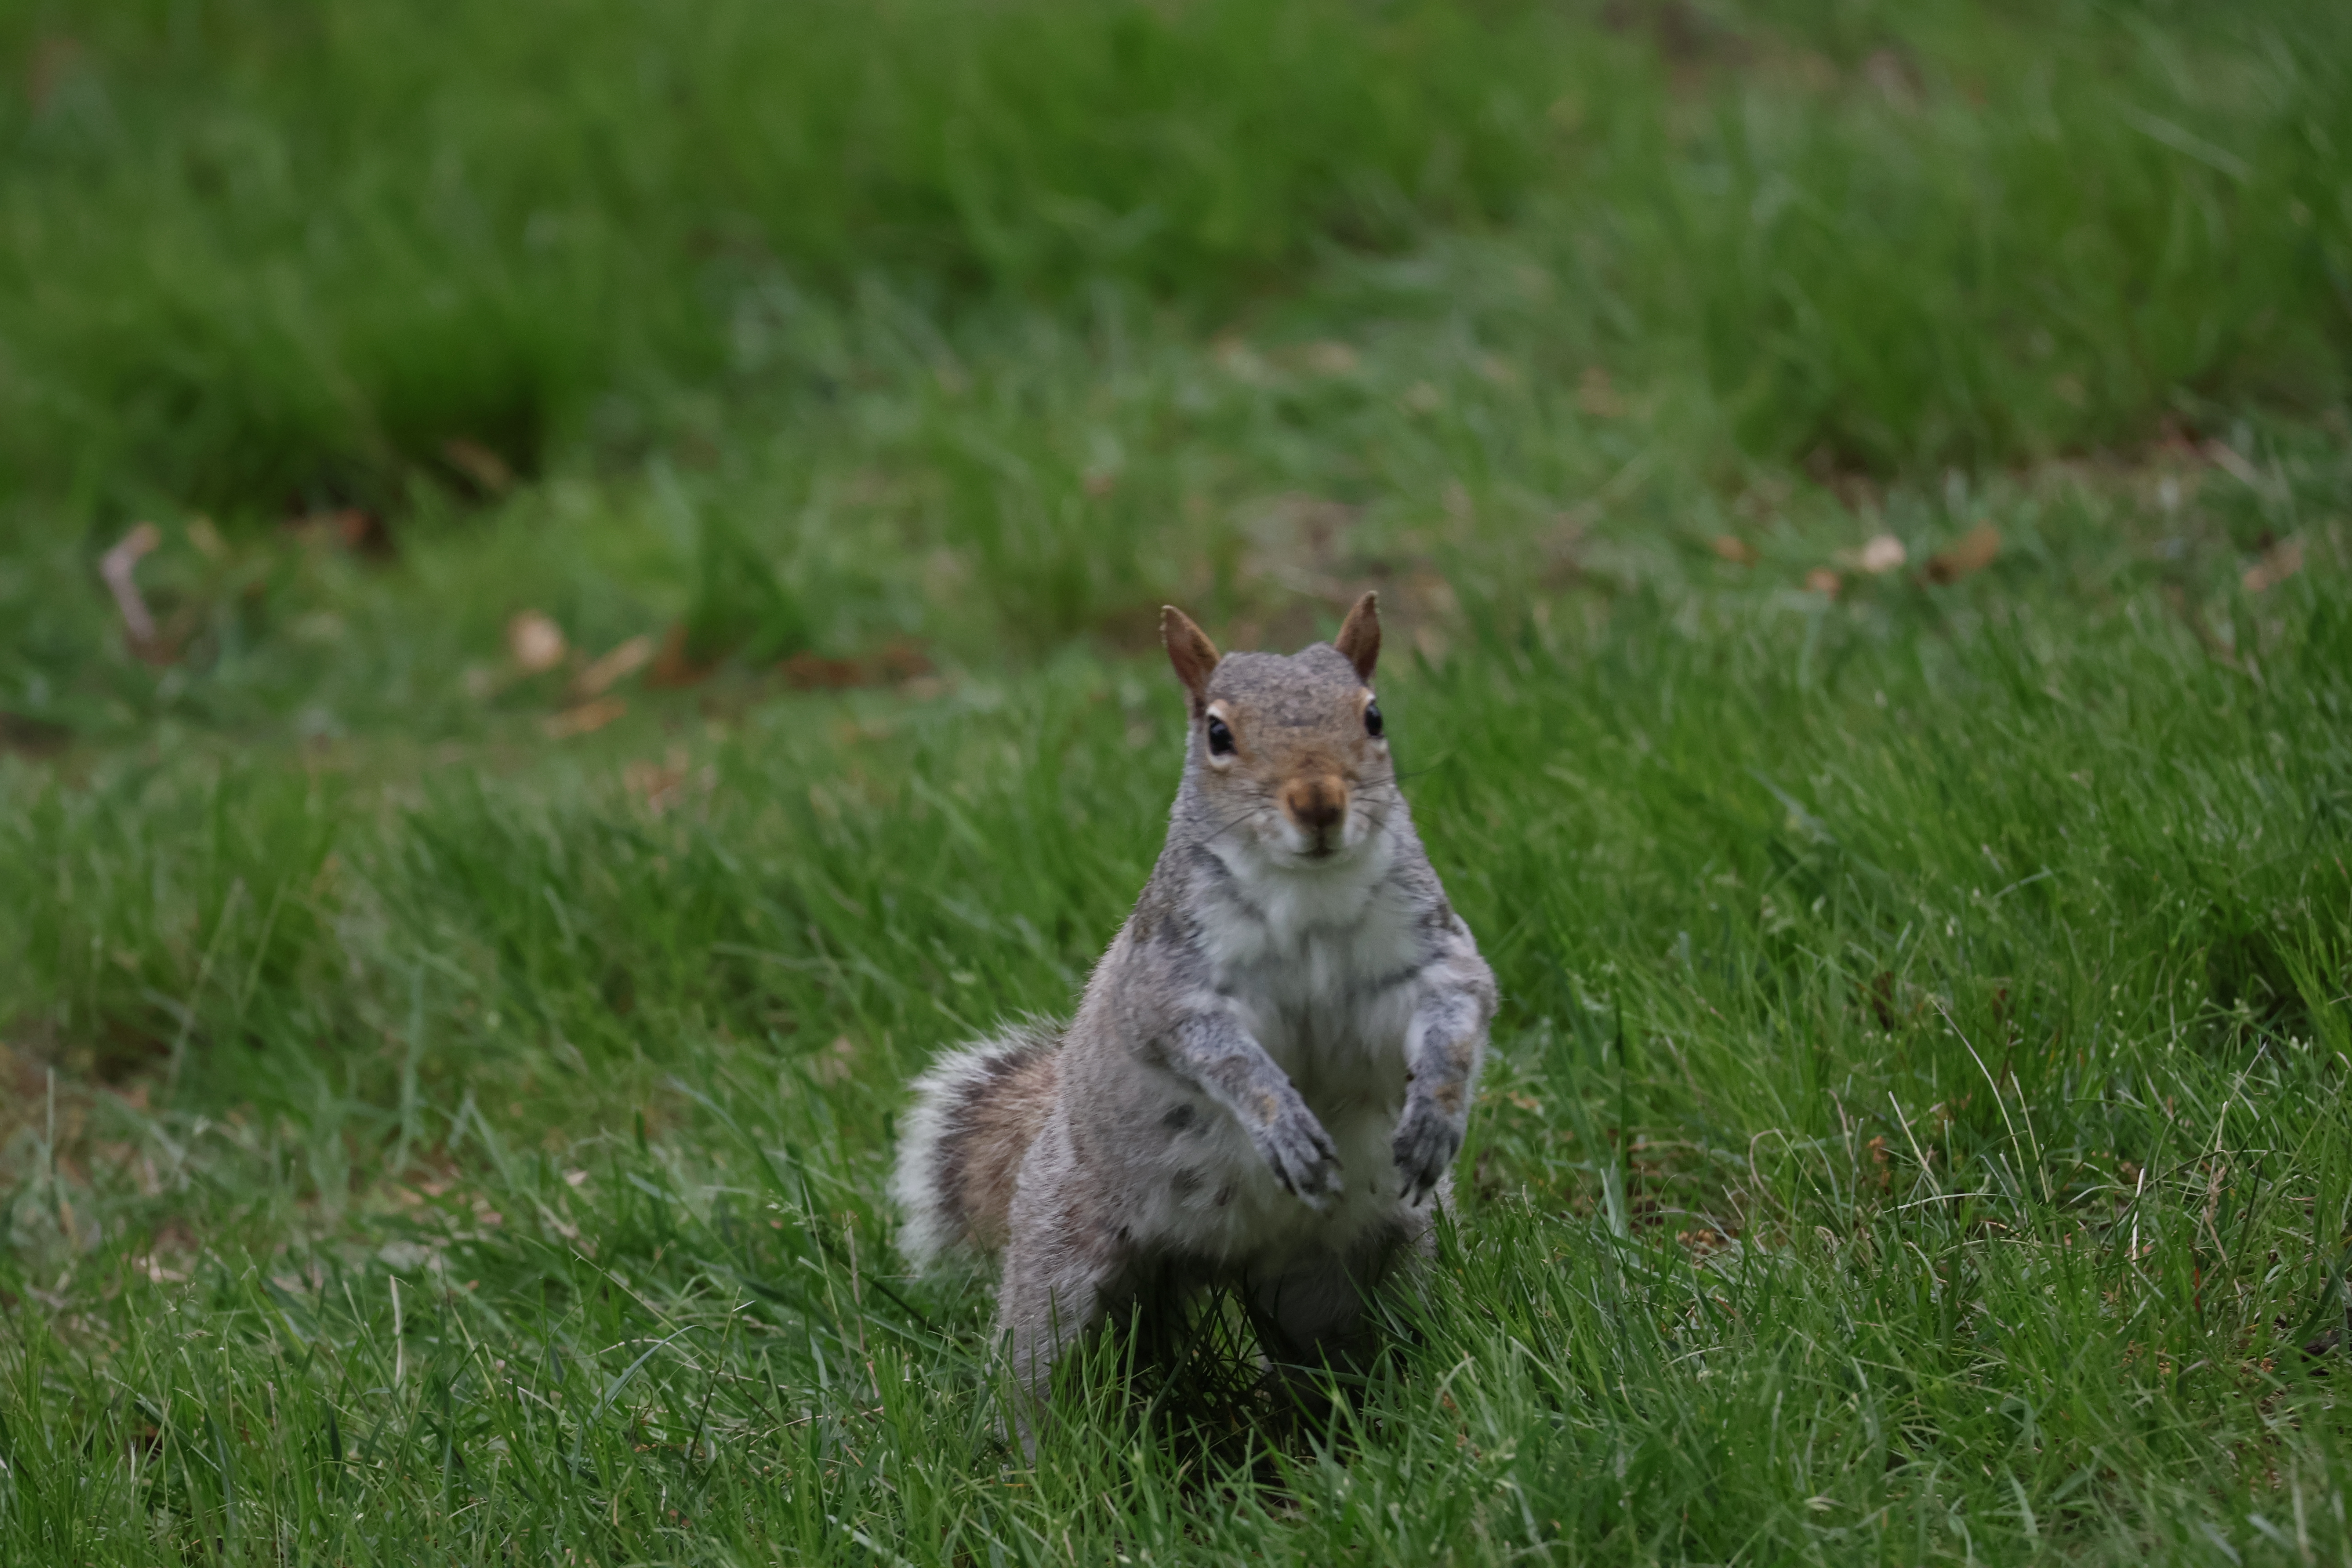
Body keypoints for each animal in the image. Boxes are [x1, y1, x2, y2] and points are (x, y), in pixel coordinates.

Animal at [890, 592, 1496, 1437]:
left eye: (1373, 716)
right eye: (1218, 733)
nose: (1318, 803)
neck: (1309, 890)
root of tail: (1221, 1260)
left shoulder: (1429, 952)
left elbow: (1460, 1008)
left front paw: (1436, 1114)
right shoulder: (1171, 978)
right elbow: (1214, 1052)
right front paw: (1281, 1122)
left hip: (1358, 1270)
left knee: (1346, 1351)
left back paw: (1374, 1417)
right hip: (1061, 1262)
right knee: (1039, 1367)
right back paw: (1034, 1453)